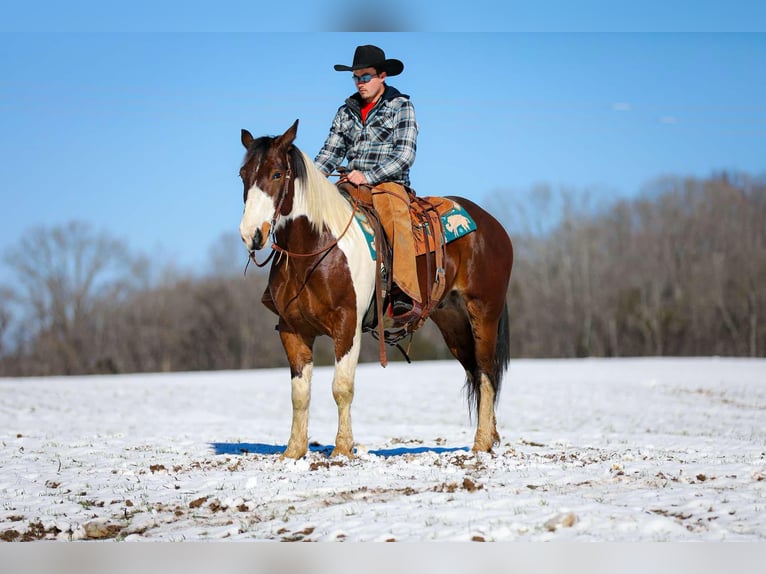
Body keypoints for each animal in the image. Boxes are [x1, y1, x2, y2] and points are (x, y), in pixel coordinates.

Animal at [238, 120, 514, 459]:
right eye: (243, 174)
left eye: (277, 173)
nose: (251, 234)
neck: (316, 248)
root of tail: (494, 226)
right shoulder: (292, 329)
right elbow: (299, 393)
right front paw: (293, 452)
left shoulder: (347, 323)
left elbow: (342, 388)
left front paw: (343, 449)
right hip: (452, 321)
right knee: (475, 371)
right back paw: (489, 439)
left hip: (484, 312)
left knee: (487, 371)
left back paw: (480, 444)